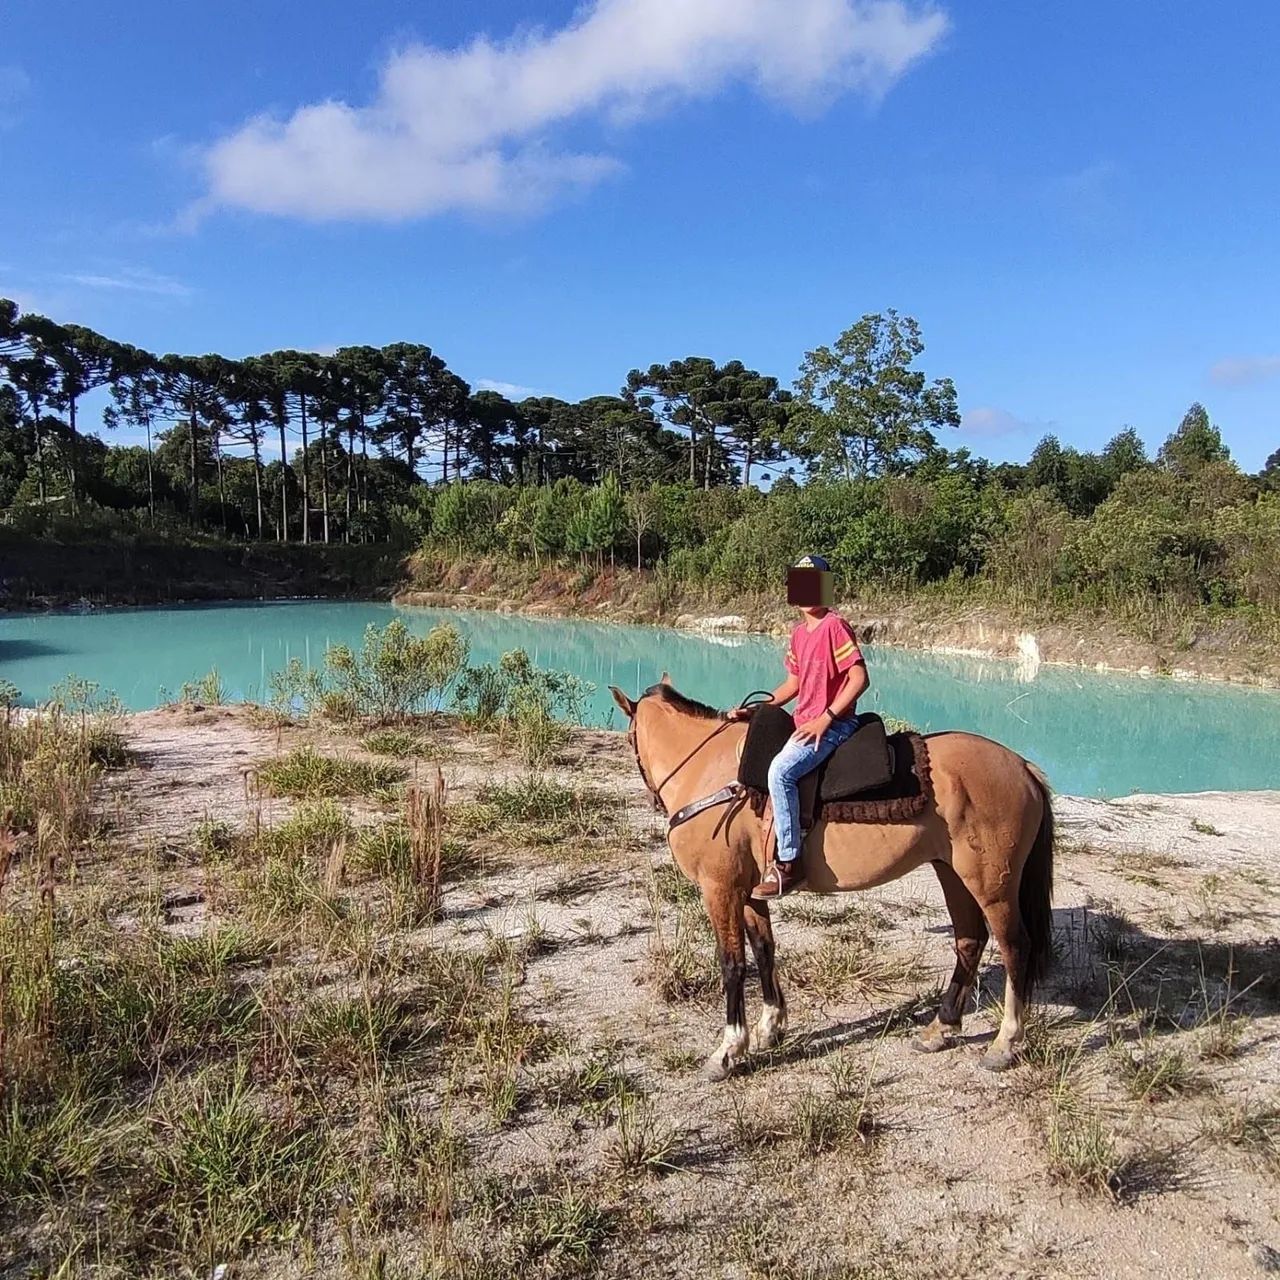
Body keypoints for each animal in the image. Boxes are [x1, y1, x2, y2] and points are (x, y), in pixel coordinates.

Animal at [610, 678, 1055, 1081]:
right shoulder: (749, 893)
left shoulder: (720, 889)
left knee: (1015, 947)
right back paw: (940, 1029)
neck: (708, 774)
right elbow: (764, 950)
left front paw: (728, 1051)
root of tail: (1022, 766)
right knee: (969, 941)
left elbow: (732, 964)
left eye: (630, 738)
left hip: (991, 885)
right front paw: (770, 1027)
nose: (653, 799)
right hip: (952, 873)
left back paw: (1004, 1043)